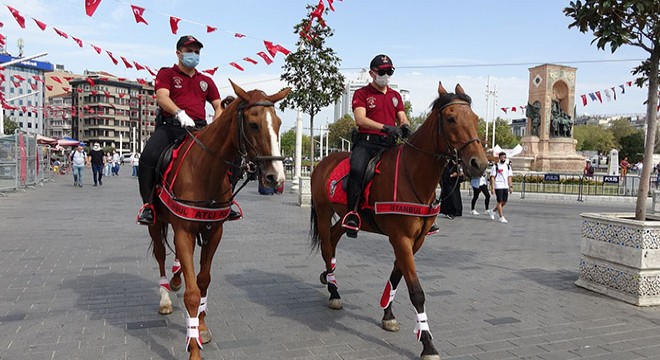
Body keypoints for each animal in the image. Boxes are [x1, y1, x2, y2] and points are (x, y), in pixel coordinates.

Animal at [150, 81, 288, 360]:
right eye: (254, 124)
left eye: (278, 123)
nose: (275, 177)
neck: (205, 171)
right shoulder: (184, 231)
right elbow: (192, 293)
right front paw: (193, 349)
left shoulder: (214, 232)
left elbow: (202, 282)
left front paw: (201, 328)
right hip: (156, 222)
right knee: (159, 254)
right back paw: (165, 297)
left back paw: (176, 279)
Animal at [310, 82, 490, 360]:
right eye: (450, 119)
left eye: (475, 119)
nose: (478, 163)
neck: (414, 174)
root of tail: (323, 162)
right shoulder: (400, 238)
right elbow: (416, 291)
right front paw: (427, 342)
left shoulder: (415, 241)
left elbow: (397, 276)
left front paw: (388, 314)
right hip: (322, 211)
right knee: (328, 245)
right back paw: (334, 291)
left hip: (347, 217)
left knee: (334, 236)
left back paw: (328, 277)